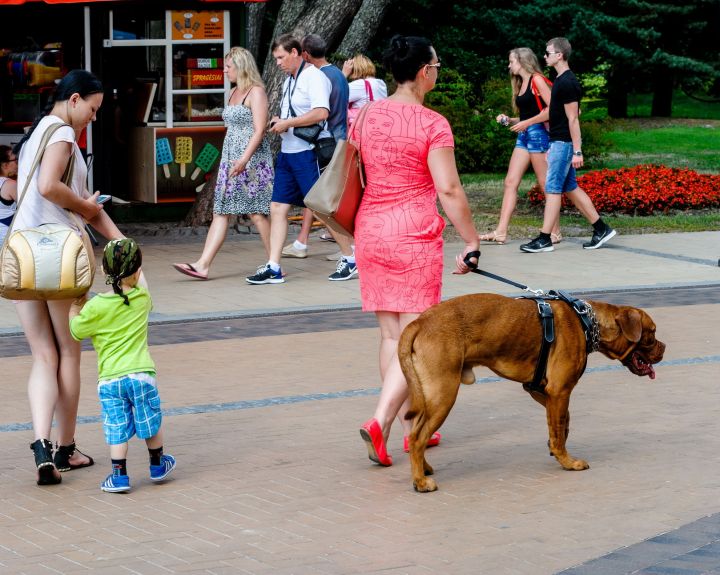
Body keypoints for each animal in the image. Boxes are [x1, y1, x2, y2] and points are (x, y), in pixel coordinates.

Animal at [400, 294, 664, 492]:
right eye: (651, 334)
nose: (664, 348)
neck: (587, 321)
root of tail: (419, 322)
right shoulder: (559, 390)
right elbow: (559, 426)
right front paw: (567, 460)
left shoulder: (540, 390)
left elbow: (562, 422)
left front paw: (556, 446)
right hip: (443, 395)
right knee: (418, 438)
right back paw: (420, 482)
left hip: (429, 397)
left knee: (415, 433)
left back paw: (423, 468)